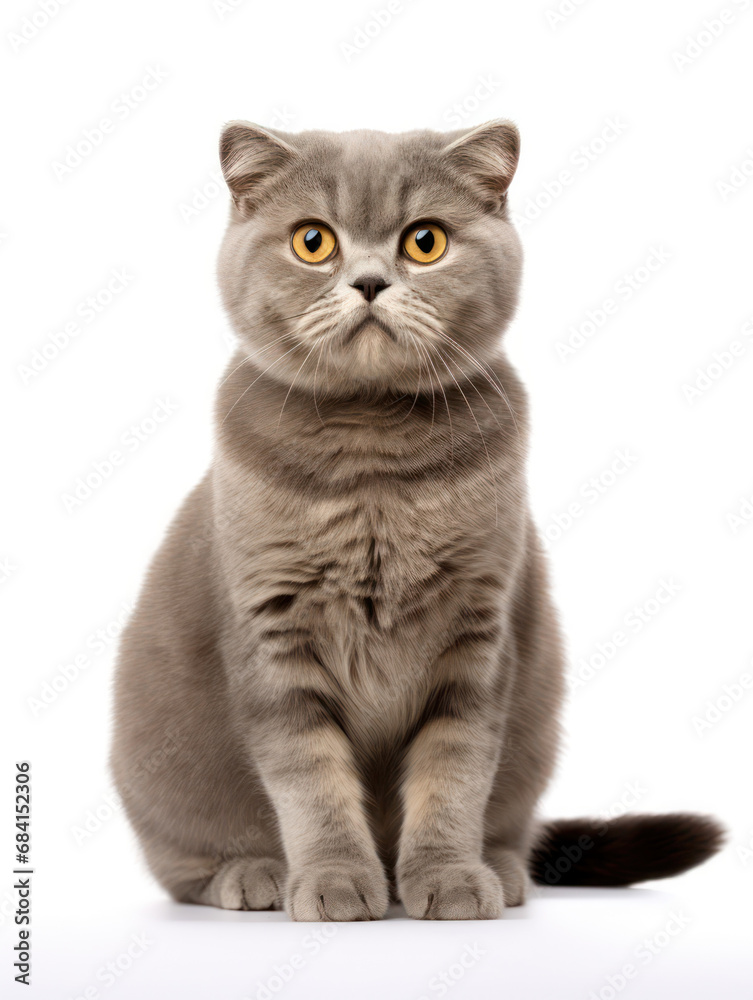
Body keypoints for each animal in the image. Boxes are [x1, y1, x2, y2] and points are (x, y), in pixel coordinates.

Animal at [108, 119, 720, 920]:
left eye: (424, 242)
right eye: (313, 241)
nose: (369, 282)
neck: (375, 466)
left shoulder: (477, 636)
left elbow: (453, 775)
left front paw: (451, 879)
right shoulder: (274, 637)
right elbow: (310, 783)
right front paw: (336, 881)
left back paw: (503, 869)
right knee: (183, 868)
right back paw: (253, 874)